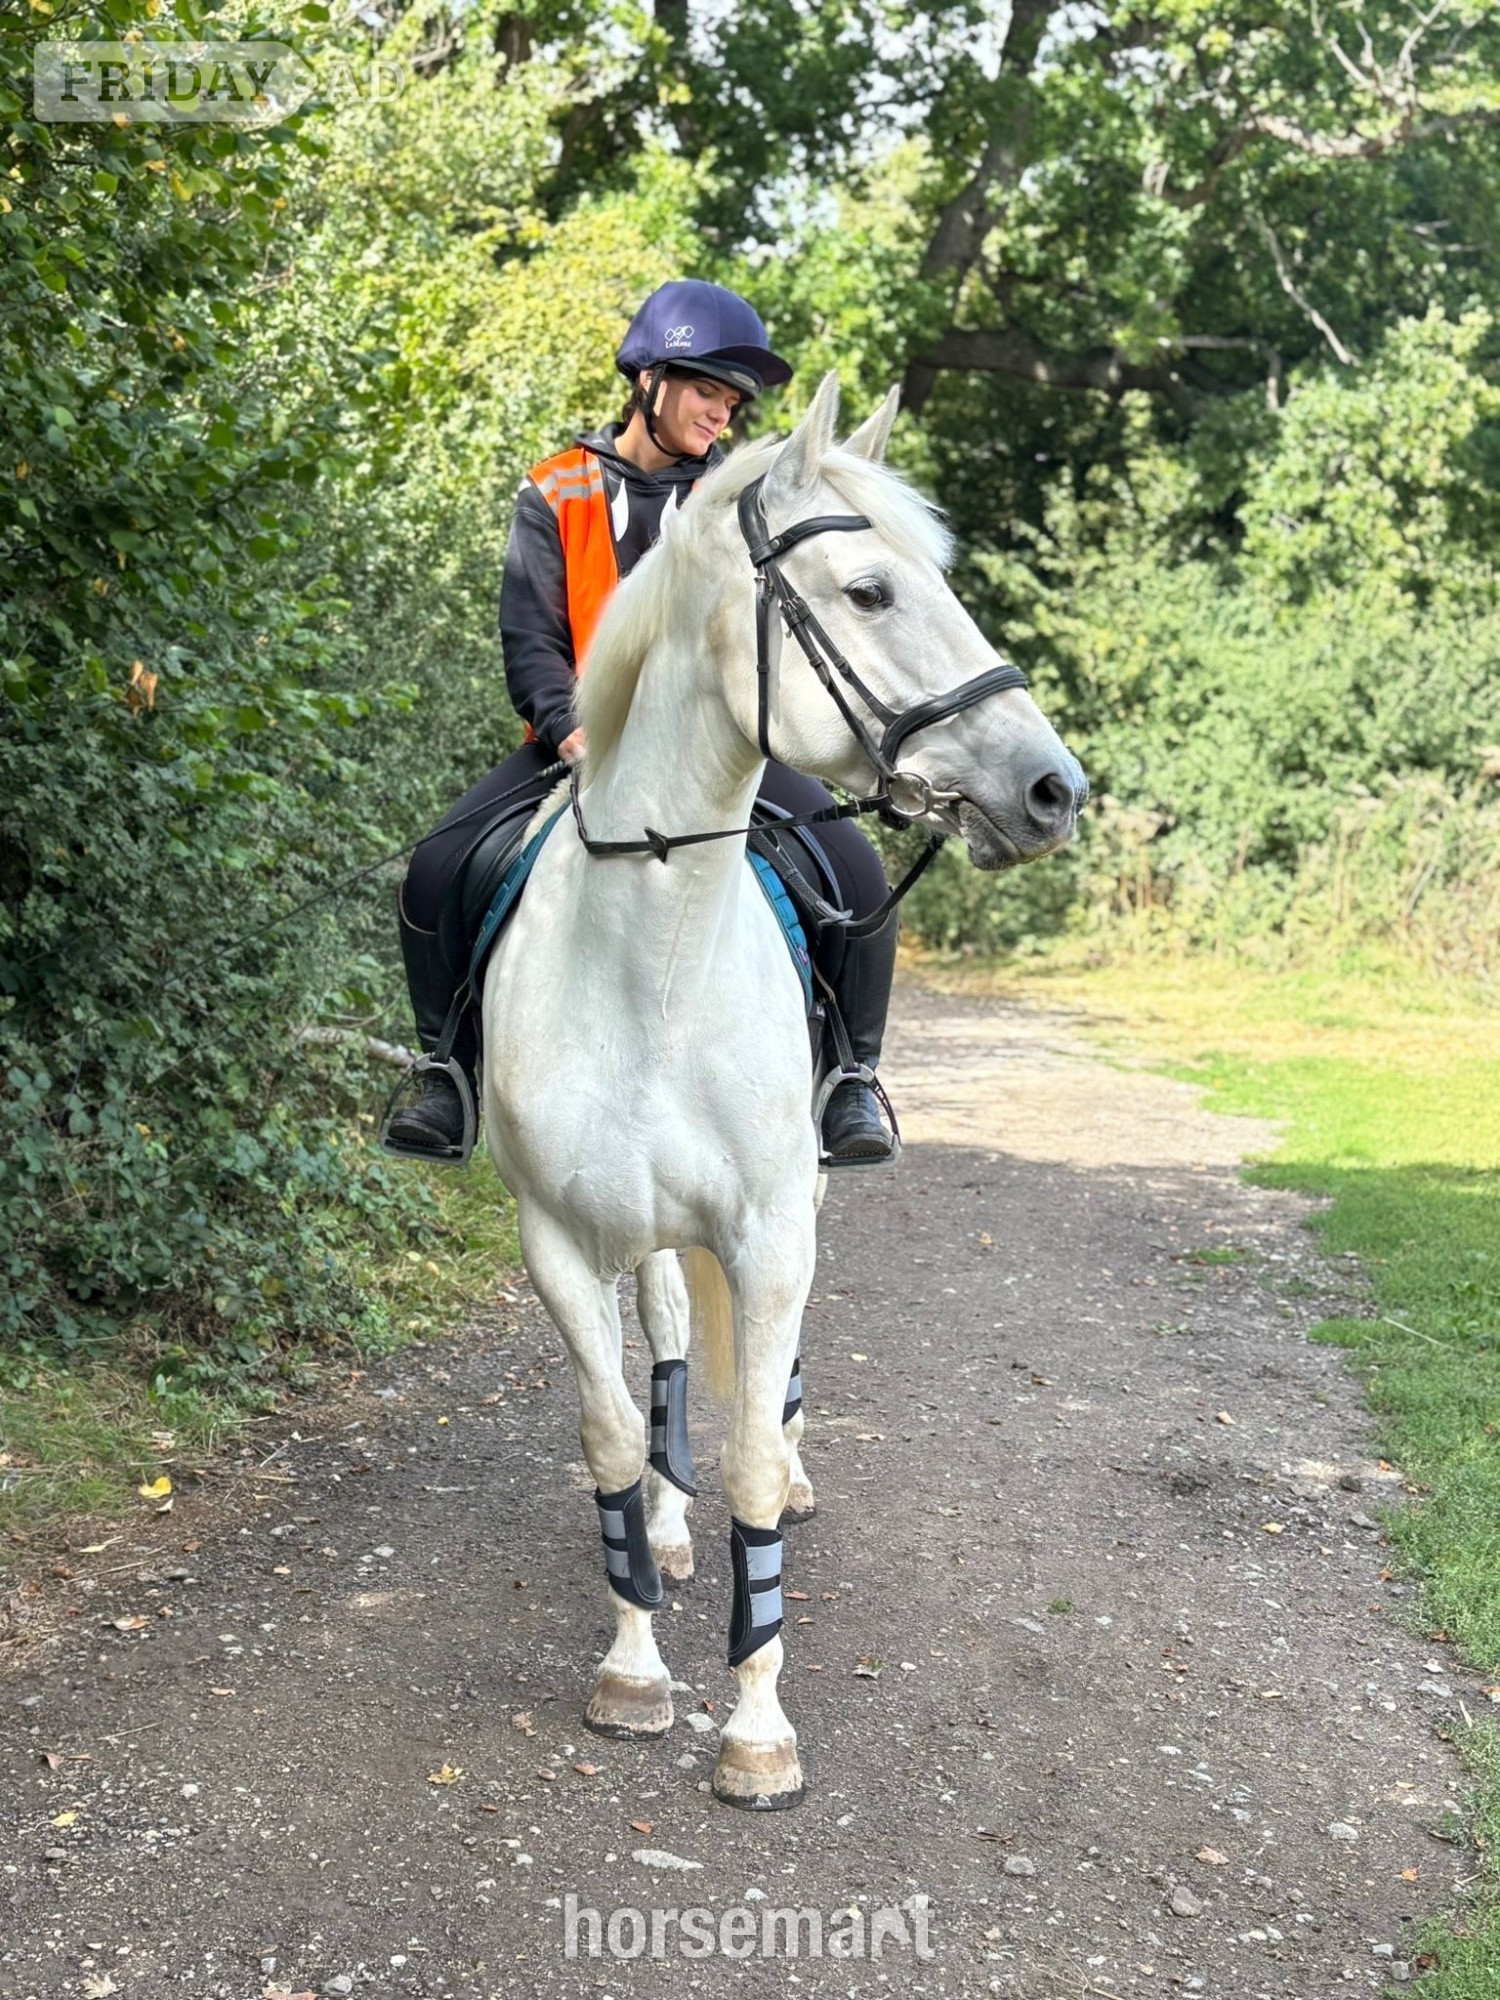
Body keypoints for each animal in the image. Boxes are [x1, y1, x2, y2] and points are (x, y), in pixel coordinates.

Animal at [481, 372, 1086, 1809]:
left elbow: (756, 1440)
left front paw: (757, 1722)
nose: (1055, 790)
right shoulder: (560, 1241)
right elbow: (610, 1429)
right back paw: (666, 1521)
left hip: (806, 1190)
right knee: (668, 1344)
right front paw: (635, 1658)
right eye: (868, 591)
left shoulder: (766, 1230)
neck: (655, 954)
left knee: (778, 1365)